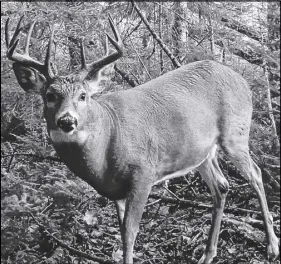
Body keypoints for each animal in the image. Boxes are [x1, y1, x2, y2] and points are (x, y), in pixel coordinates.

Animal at [4, 16, 278, 264]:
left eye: (83, 95)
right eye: (49, 95)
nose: (67, 121)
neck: (106, 146)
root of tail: (241, 78)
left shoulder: (143, 173)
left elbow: (130, 232)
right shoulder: (116, 191)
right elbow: (122, 230)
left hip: (235, 133)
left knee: (256, 174)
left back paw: (272, 247)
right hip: (201, 151)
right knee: (221, 186)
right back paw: (207, 255)